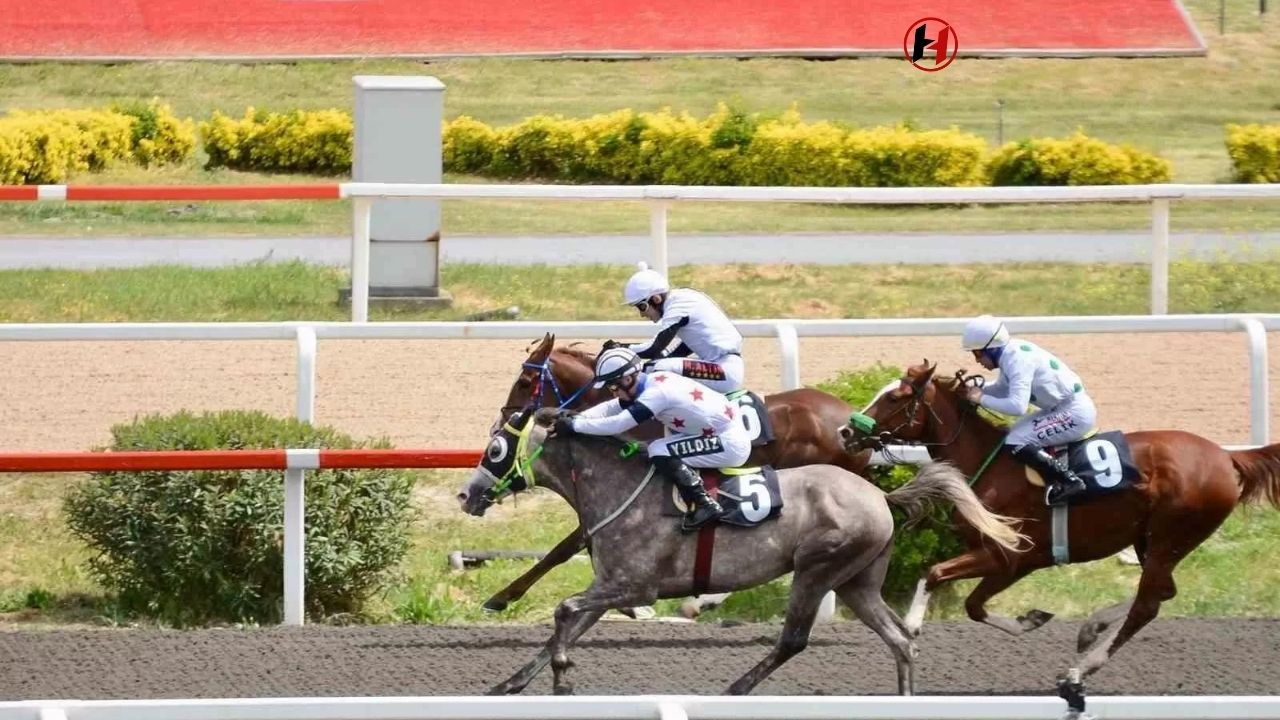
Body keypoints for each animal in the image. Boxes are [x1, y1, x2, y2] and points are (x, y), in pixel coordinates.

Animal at [455, 407, 1024, 691]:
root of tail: (879, 496)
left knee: (793, 641)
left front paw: (562, 677)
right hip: (857, 583)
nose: (466, 494)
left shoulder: (633, 586)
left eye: (496, 448)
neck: (620, 486)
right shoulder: (612, 584)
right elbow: (568, 623)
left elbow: (563, 611)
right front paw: (509, 685)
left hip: (817, 570)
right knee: (901, 641)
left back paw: (733, 690)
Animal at [839, 358, 1280, 696]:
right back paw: (1091, 629)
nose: (846, 431)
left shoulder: (1008, 554)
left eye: (895, 397)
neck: (992, 466)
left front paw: (911, 626)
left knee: (1148, 602)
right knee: (1159, 592)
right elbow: (974, 606)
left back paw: (1078, 671)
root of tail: (1226, 457)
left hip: (1171, 536)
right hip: (1151, 540)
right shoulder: (1015, 562)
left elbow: (934, 574)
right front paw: (1030, 619)